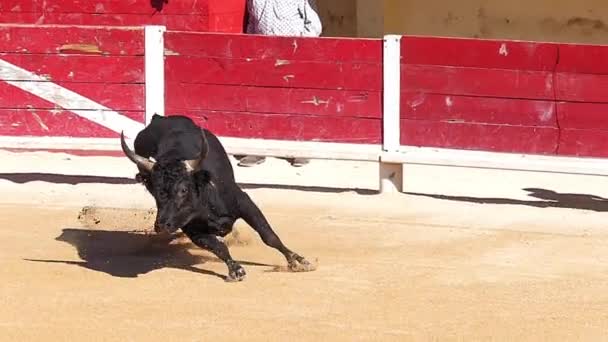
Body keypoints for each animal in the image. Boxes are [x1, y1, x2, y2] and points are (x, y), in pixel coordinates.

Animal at [120, 114, 316, 280]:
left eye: (183, 190)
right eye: (155, 190)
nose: (161, 225)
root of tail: (159, 118)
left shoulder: (245, 203)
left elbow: (269, 236)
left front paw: (297, 261)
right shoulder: (192, 230)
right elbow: (218, 247)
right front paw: (236, 270)